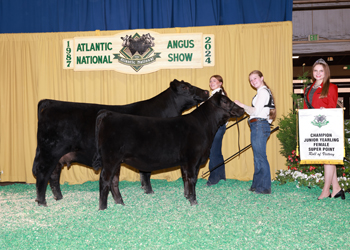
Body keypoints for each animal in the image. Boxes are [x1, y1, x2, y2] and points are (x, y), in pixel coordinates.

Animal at [32, 79, 208, 206]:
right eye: (185, 87)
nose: (206, 91)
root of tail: (50, 102)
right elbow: (146, 172)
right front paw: (149, 191)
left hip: (59, 155)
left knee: (54, 174)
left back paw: (58, 197)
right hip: (50, 151)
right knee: (43, 173)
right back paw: (42, 202)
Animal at [94, 92, 245, 209]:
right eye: (226, 101)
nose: (242, 109)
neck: (204, 126)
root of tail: (108, 114)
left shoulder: (185, 162)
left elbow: (185, 178)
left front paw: (187, 196)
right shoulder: (193, 159)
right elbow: (192, 179)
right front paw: (193, 201)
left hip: (117, 161)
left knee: (114, 181)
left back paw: (120, 203)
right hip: (110, 159)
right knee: (104, 179)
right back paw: (103, 208)